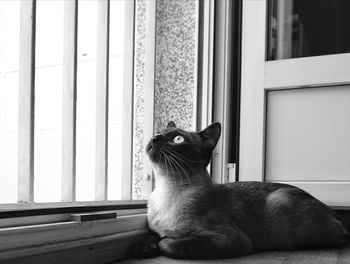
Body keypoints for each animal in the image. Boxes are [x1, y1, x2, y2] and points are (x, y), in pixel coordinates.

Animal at [132, 121, 350, 260]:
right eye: (159, 132)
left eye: (178, 139)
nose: (155, 137)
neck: (167, 188)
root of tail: (328, 207)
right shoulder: (155, 229)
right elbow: (153, 237)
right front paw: (144, 248)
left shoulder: (230, 239)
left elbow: (167, 242)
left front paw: (161, 243)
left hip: (283, 203)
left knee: (341, 236)